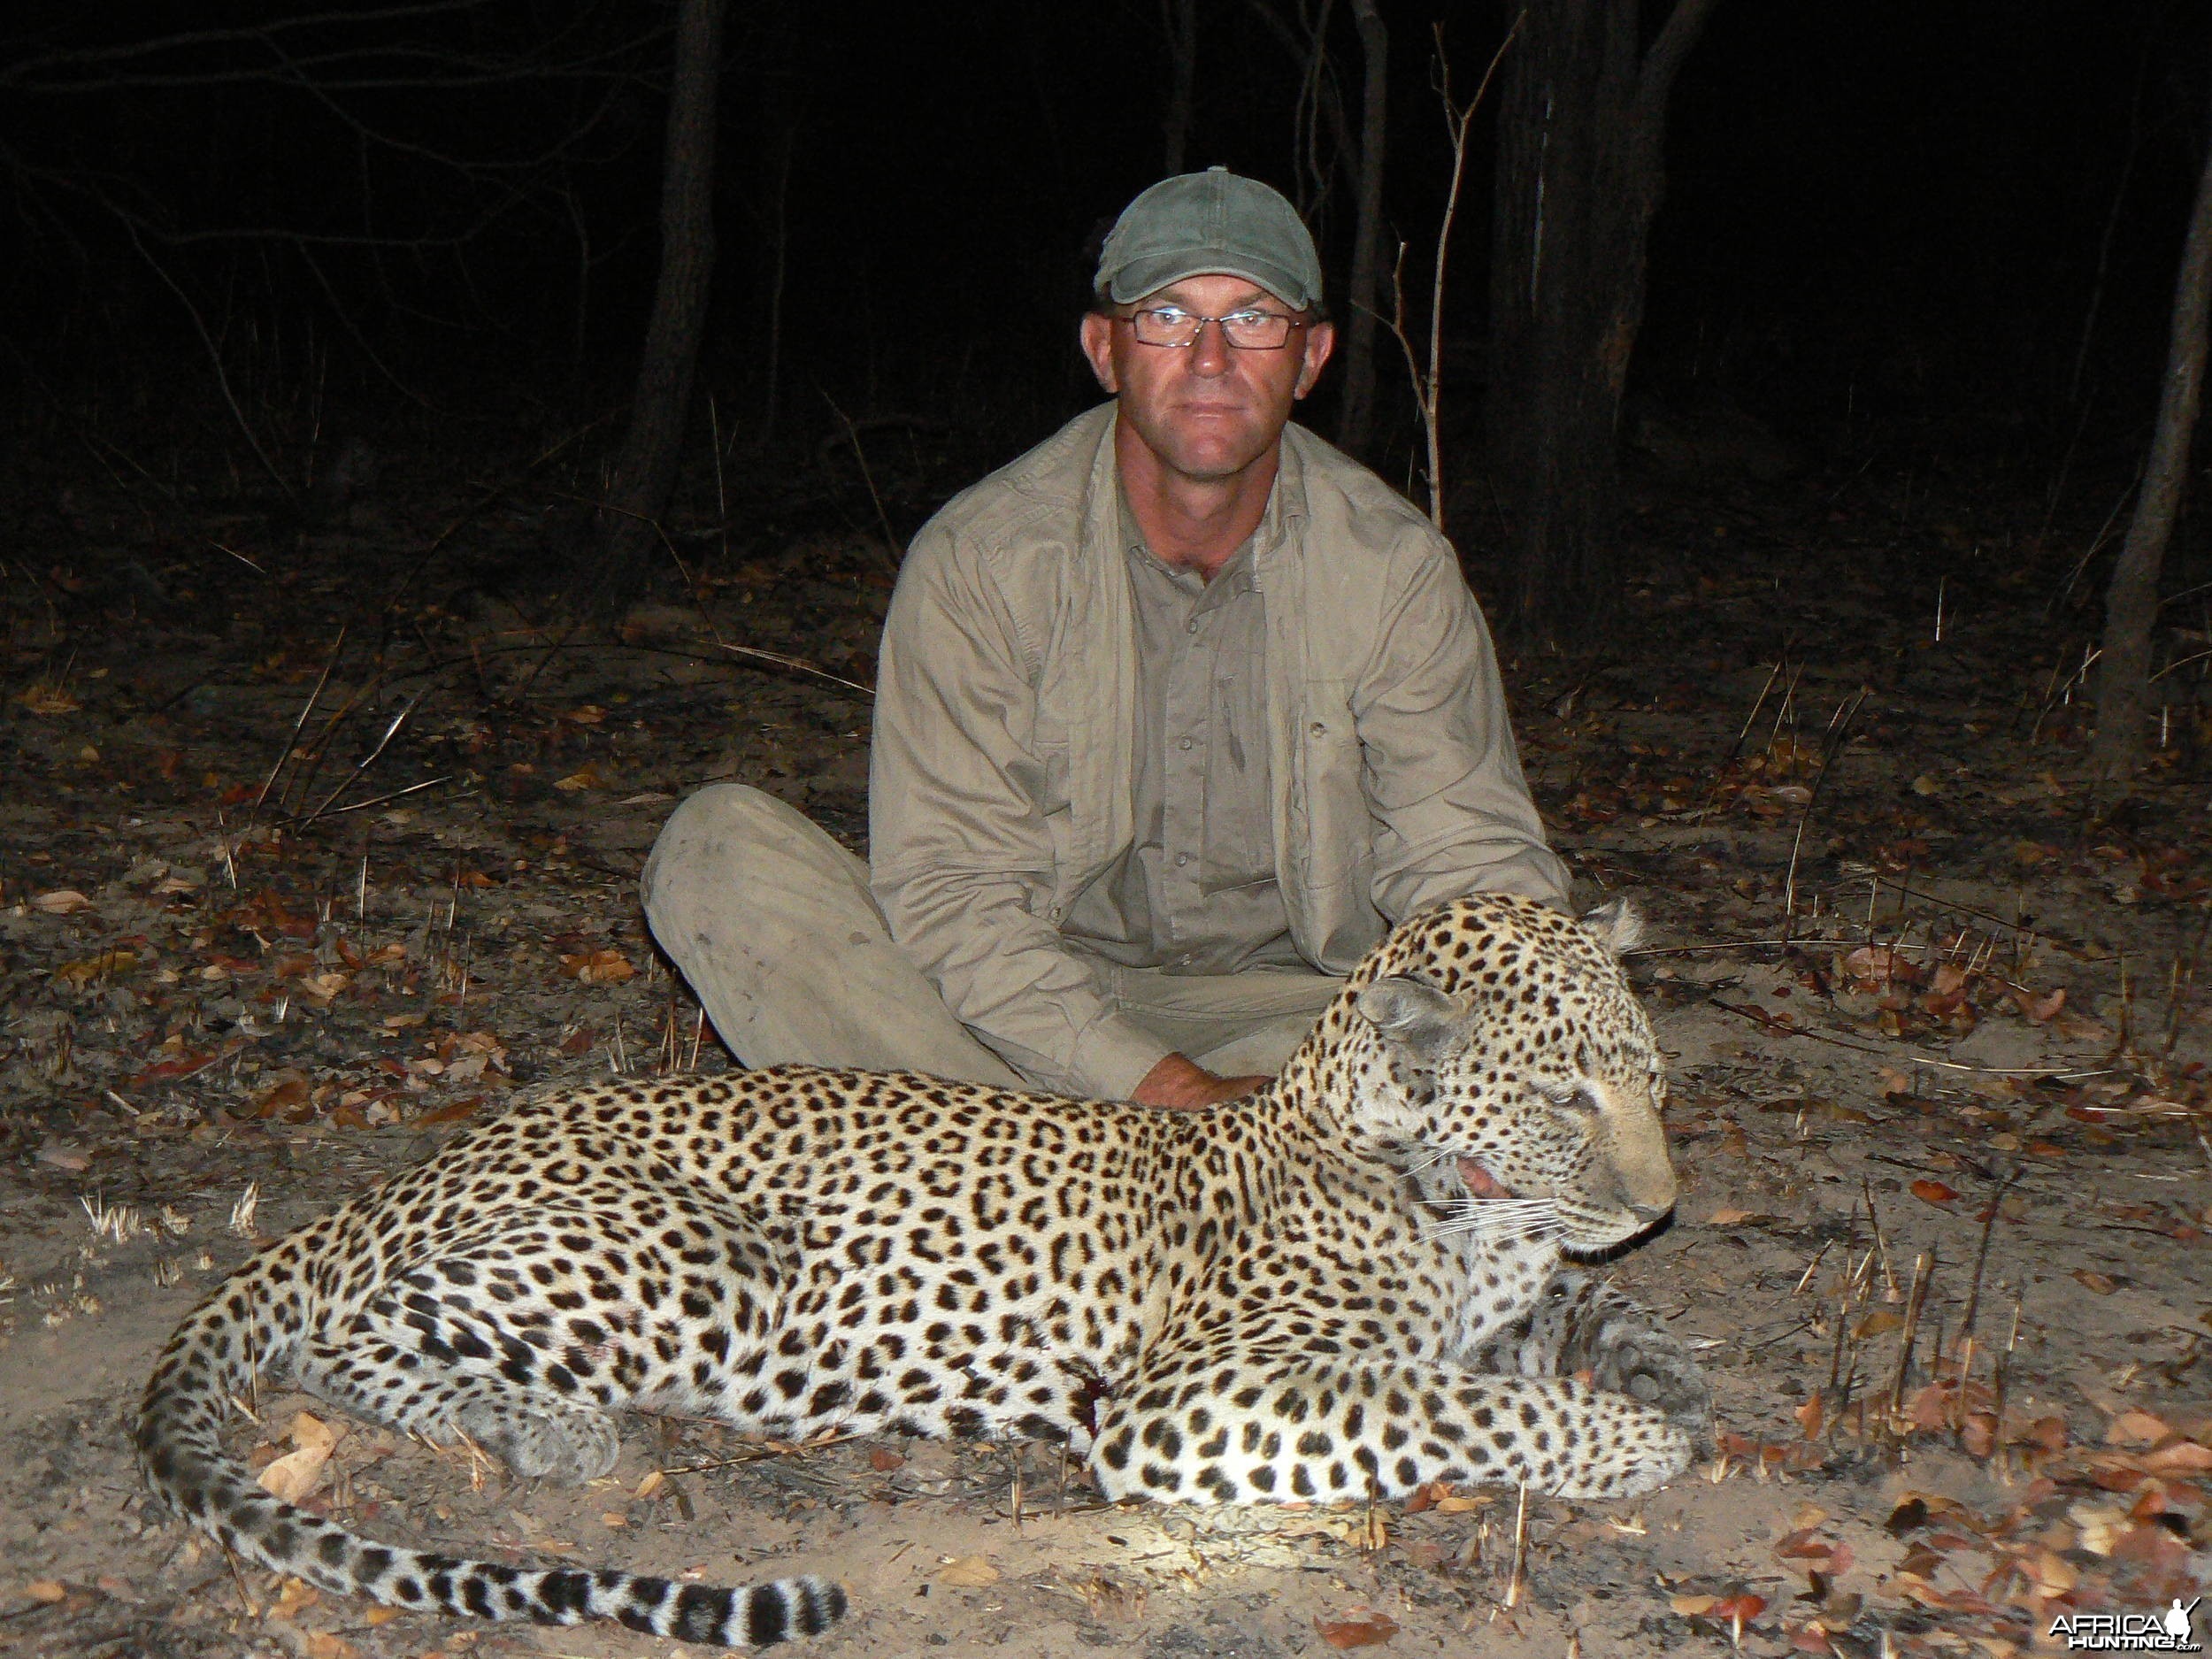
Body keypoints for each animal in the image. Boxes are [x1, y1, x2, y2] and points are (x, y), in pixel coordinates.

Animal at [138, 898, 1708, 1655]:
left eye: (1653, 1080)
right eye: (1568, 1095)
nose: (1664, 1203)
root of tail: (444, 1149)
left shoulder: (1503, 1300)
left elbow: (1561, 1315)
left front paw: (1657, 1358)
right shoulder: (1192, 1397)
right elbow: (1452, 1403)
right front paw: (1630, 1436)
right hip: (700, 1254)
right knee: (343, 1336)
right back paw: (544, 1424)